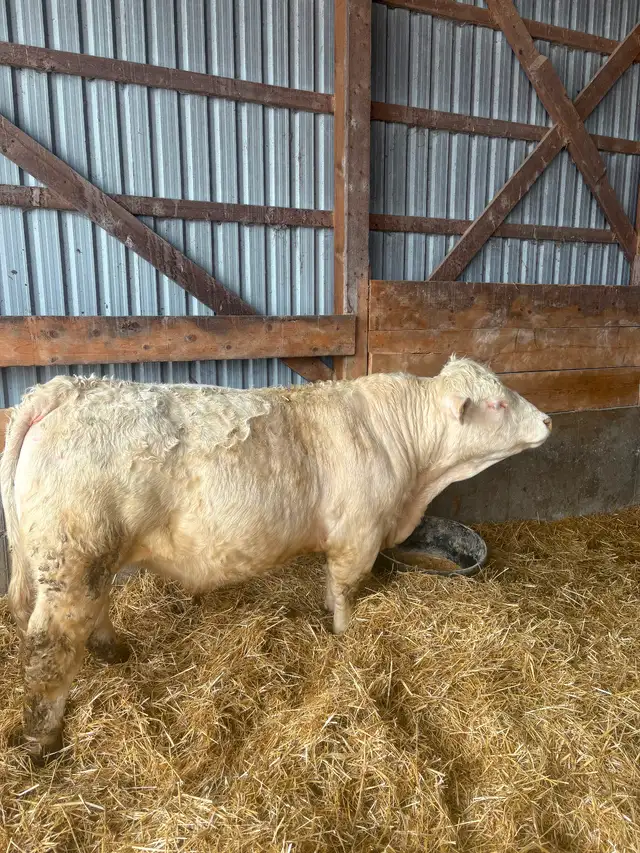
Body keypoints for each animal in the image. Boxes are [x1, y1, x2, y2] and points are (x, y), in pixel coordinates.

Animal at [1, 356, 551, 762]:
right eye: (499, 402)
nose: (547, 420)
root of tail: (67, 387)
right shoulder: (359, 535)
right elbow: (346, 588)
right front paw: (344, 635)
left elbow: (331, 586)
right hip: (73, 557)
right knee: (50, 645)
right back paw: (43, 742)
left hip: (88, 559)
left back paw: (113, 651)